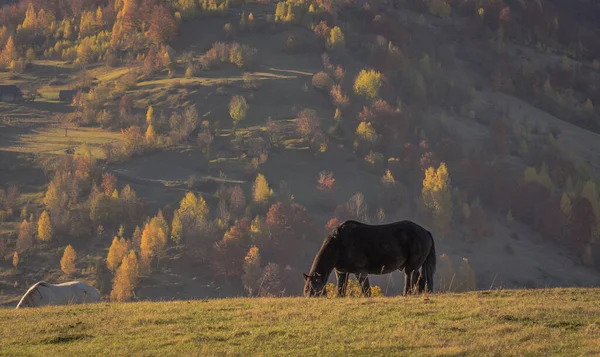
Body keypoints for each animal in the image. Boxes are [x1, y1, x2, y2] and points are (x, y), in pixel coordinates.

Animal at [304, 218, 436, 296]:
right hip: (413, 266)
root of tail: (426, 232)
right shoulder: (341, 272)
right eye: (306, 290)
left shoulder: (360, 271)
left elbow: (366, 290)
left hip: (412, 266)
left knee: (412, 279)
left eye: (314, 290)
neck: (339, 243)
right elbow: (341, 290)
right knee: (420, 281)